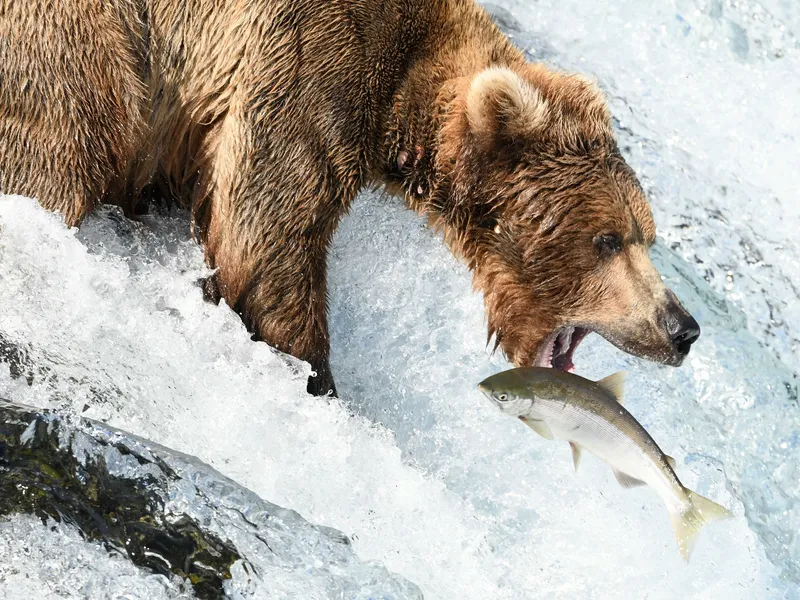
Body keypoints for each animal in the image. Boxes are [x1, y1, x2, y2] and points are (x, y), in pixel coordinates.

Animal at [0, 0, 699, 396]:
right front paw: (317, 376)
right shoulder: (311, 62)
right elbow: (270, 232)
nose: (682, 327)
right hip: (77, 44)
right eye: (607, 239)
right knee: (60, 147)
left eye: (646, 233)